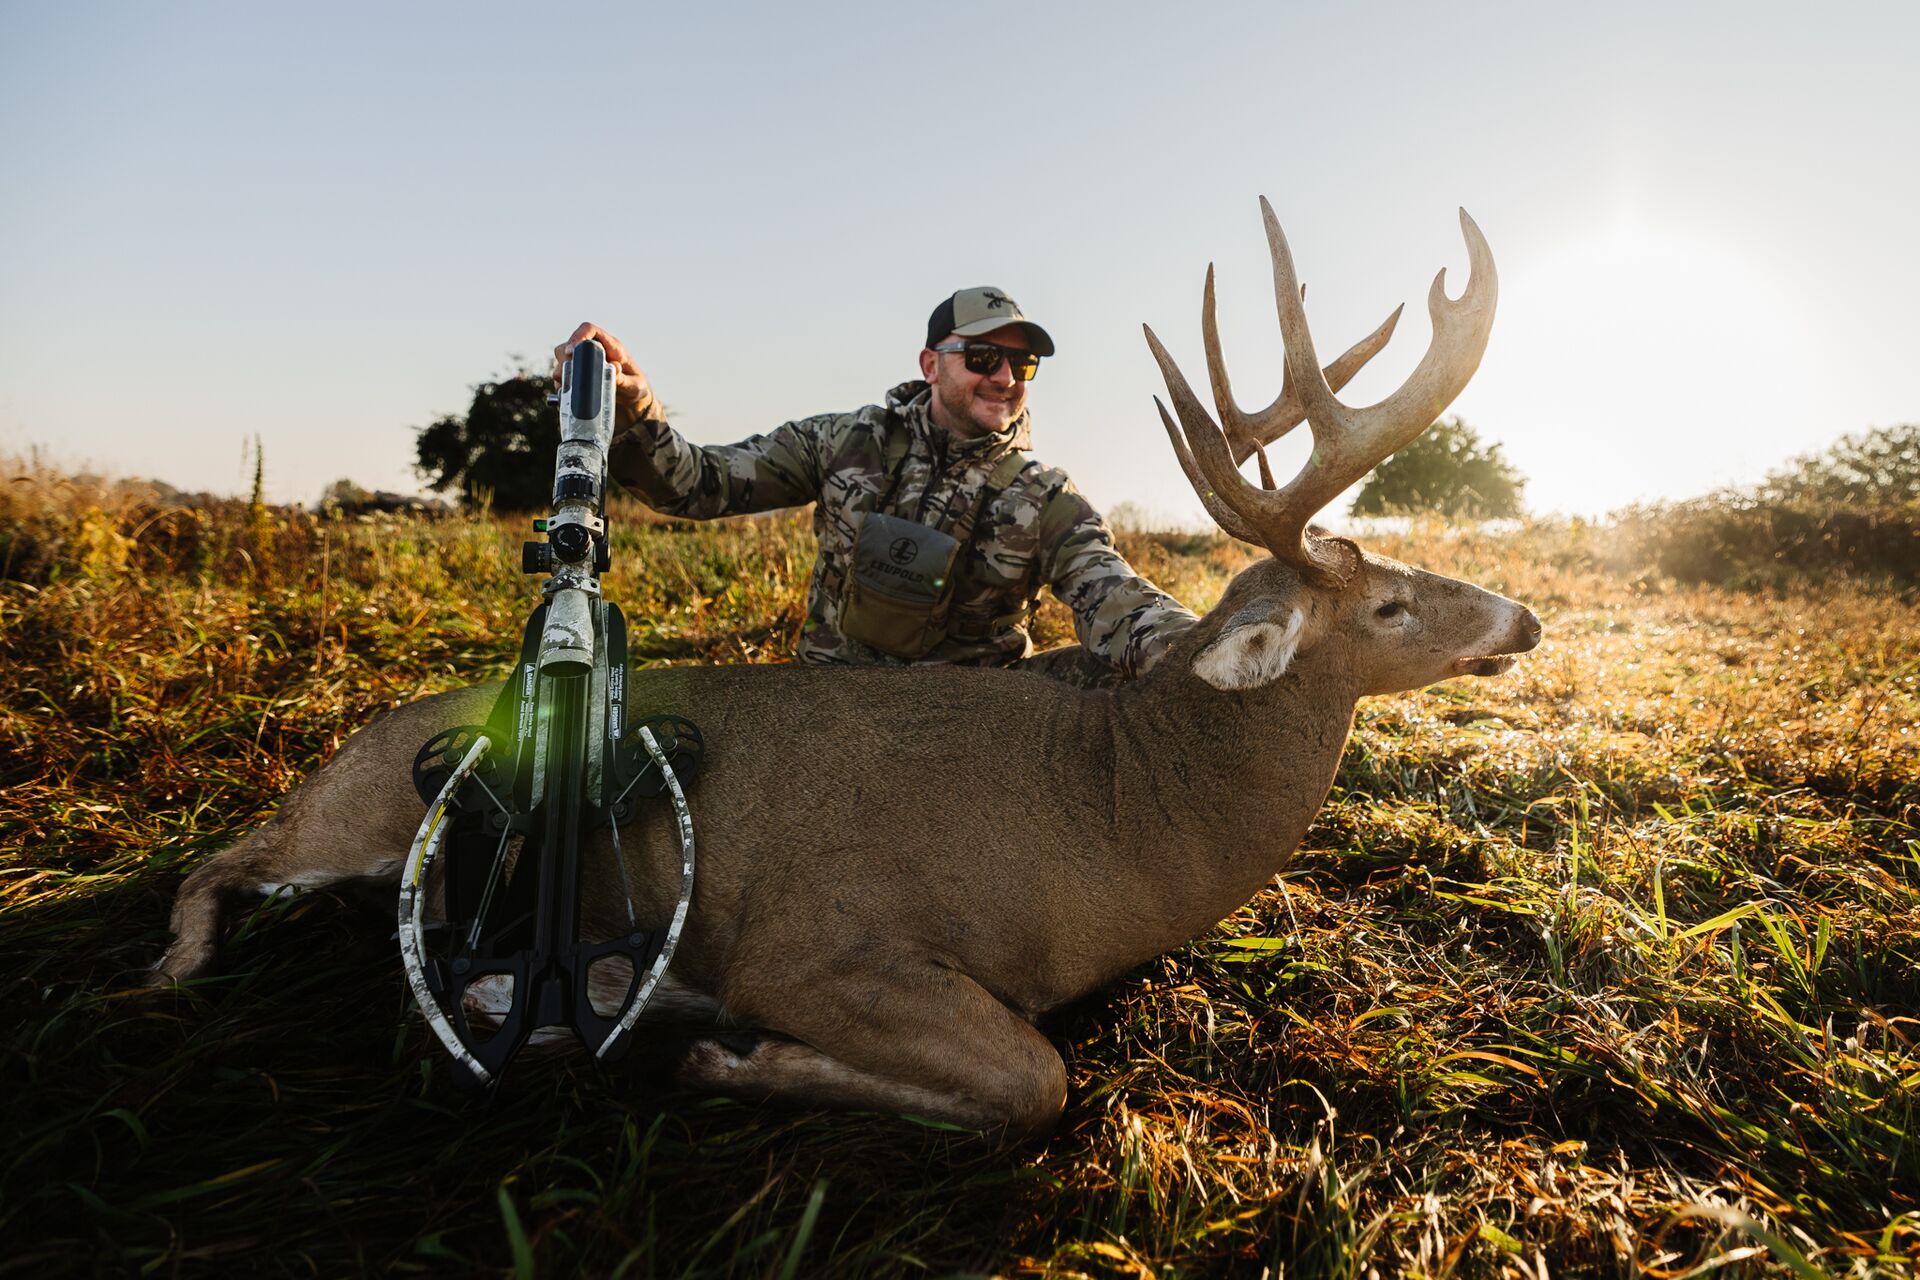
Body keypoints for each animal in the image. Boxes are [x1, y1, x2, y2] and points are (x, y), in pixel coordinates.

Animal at [154, 201, 1539, 1139]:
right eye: (1392, 604)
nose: (1522, 616)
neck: (1114, 822)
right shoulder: (816, 941)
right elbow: (1035, 1077)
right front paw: (723, 1056)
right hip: (362, 808)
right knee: (219, 858)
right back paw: (183, 972)